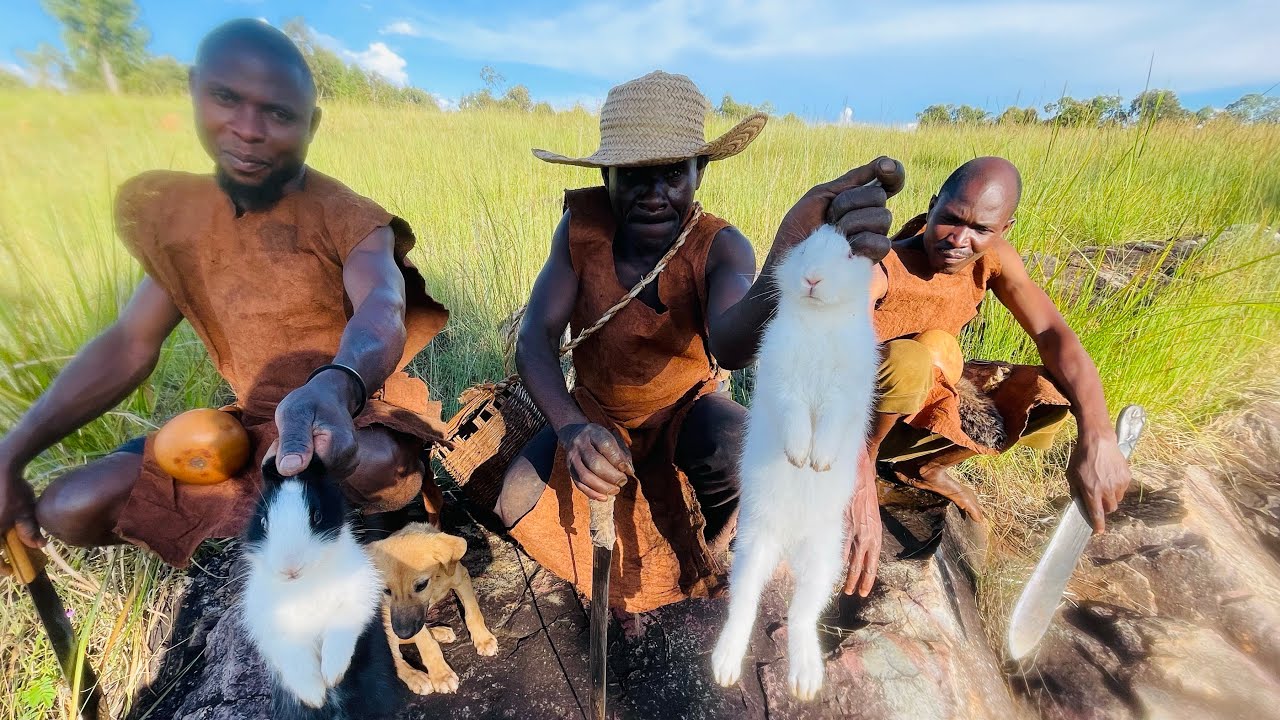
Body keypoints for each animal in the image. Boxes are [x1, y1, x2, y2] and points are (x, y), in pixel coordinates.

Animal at [241, 458, 401, 719]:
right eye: (263, 522)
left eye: (316, 516)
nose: (290, 567)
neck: (305, 585)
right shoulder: (277, 630)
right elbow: (296, 660)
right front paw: (315, 696)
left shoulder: (355, 598)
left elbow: (339, 634)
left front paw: (332, 675)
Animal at [711, 224, 879, 700]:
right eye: (802, 249)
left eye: (849, 254)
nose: (812, 279)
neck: (820, 322)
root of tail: (786, 543)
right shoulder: (784, 386)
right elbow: (795, 418)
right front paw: (799, 456)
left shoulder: (844, 394)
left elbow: (832, 422)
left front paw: (819, 462)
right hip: (750, 548)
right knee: (745, 606)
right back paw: (726, 668)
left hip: (823, 559)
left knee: (802, 615)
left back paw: (805, 679)